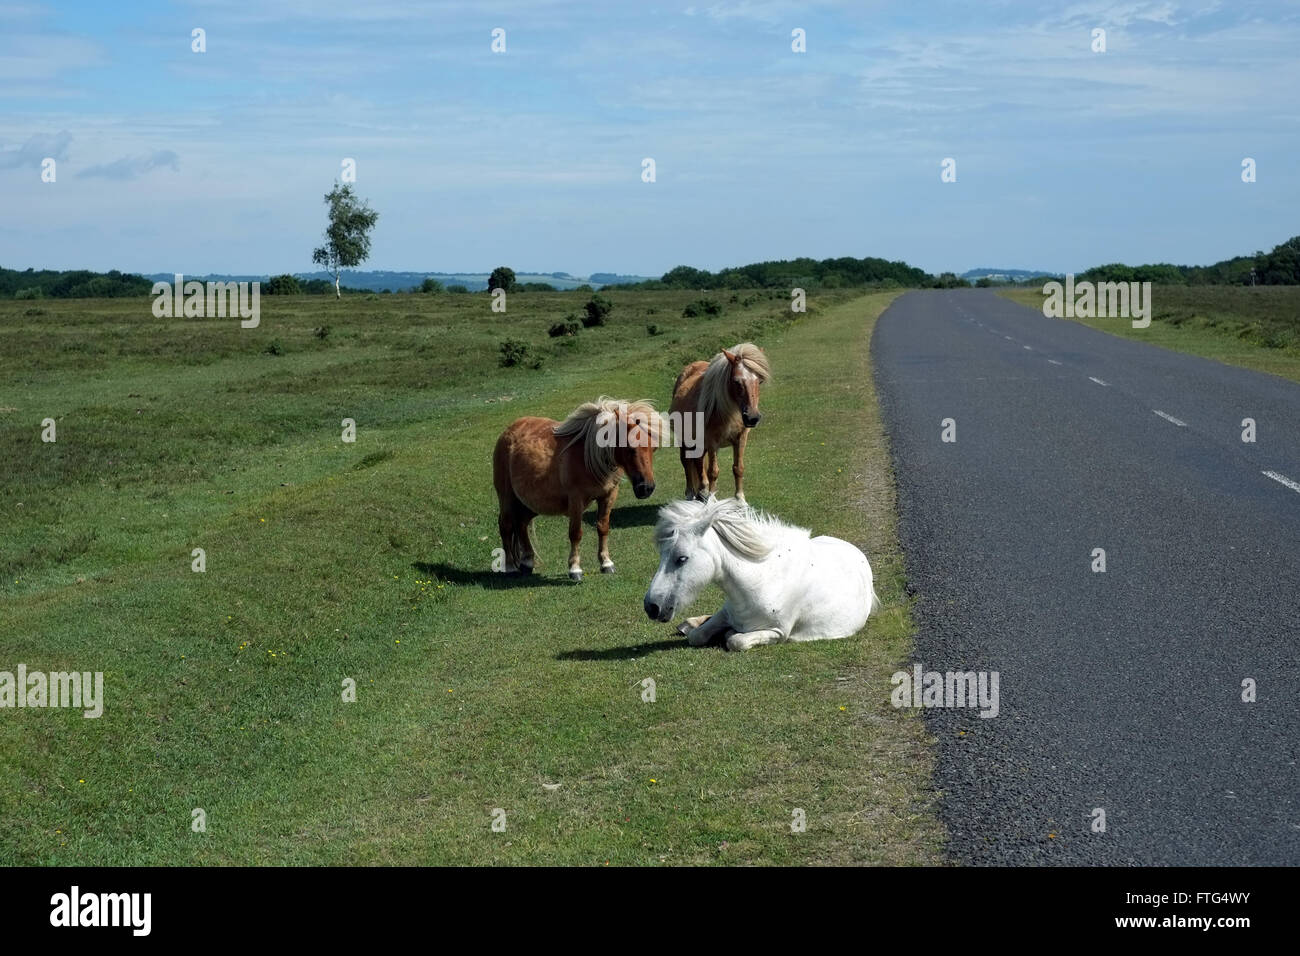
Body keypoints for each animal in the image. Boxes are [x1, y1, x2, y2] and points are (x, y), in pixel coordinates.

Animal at [491, 398, 665, 580]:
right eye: (630, 448)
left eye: (653, 448)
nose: (646, 488)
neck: (589, 457)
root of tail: (508, 431)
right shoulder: (576, 500)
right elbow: (575, 533)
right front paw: (575, 568)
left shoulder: (608, 496)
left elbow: (603, 528)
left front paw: (606, 563)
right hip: (506, 496)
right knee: (506, 524)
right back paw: (510, 566)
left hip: (532, 502)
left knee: (521, 523)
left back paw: (527, 562)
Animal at [642, 502, 883, 650]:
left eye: (681, 558)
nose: (651, 607)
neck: (760, 581)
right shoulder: (726, 613)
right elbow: (697, 636)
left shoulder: (778, 632)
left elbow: (736, 641)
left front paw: (729, 634)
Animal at [670, 343, 769, 502]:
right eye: (736, 381)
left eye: (759, 381)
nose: (752, 417)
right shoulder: (712, 442)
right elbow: (713, 471)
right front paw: (712, 499)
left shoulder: (741, 438)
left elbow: (738, 468)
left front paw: (740, 499)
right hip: (684, 440)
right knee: (686, 463)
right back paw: (691, 493)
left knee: (698, 462)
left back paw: (702, 491)